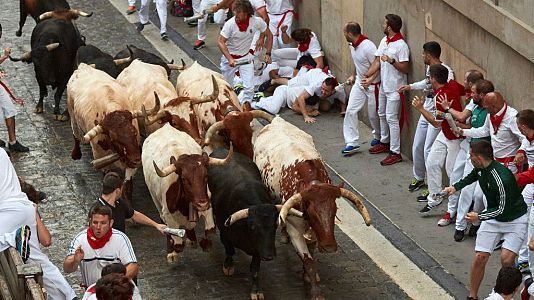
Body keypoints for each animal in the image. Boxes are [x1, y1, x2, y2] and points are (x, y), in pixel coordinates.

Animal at [142, 123, 232, 262]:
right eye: (184, 178)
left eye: (206, 175)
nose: (201, 204)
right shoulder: (168, 214)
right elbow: (177, 242)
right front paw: (172, 250)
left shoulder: (207, 203)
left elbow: (210, 231)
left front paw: (203, 243)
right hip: (155, 199)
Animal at [207, 149, 304, 300]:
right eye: (253, 228)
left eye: (275, 226)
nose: (269, 256)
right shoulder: (224, 231)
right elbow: (229, 249)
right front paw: (228, 265)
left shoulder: (259, 248)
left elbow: (255, 269)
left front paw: (256, 290)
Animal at [255, 116, 372, 300]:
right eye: (311, 213)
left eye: (335, 210)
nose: (329, 247)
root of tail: (277, 120)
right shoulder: (295, 228)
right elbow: (308, 260)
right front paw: (316, 292)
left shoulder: (316, 233)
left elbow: (311, 252)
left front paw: (307, 276)